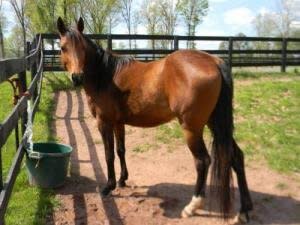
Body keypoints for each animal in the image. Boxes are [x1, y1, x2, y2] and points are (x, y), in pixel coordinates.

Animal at [56, 17, 253, 221]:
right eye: (63, 47)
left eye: (82, 47)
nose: (77, 77)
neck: (106, 75)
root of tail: (214, 61)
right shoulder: (119, 123)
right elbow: (120, 150)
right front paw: (122, 179)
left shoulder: (104, 122)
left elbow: (108, 154)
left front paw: (108, 187)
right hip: (216, 123)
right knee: (236, 157)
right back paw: (244, 211)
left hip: (192, 128)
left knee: (203, 161)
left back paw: (192, 206)